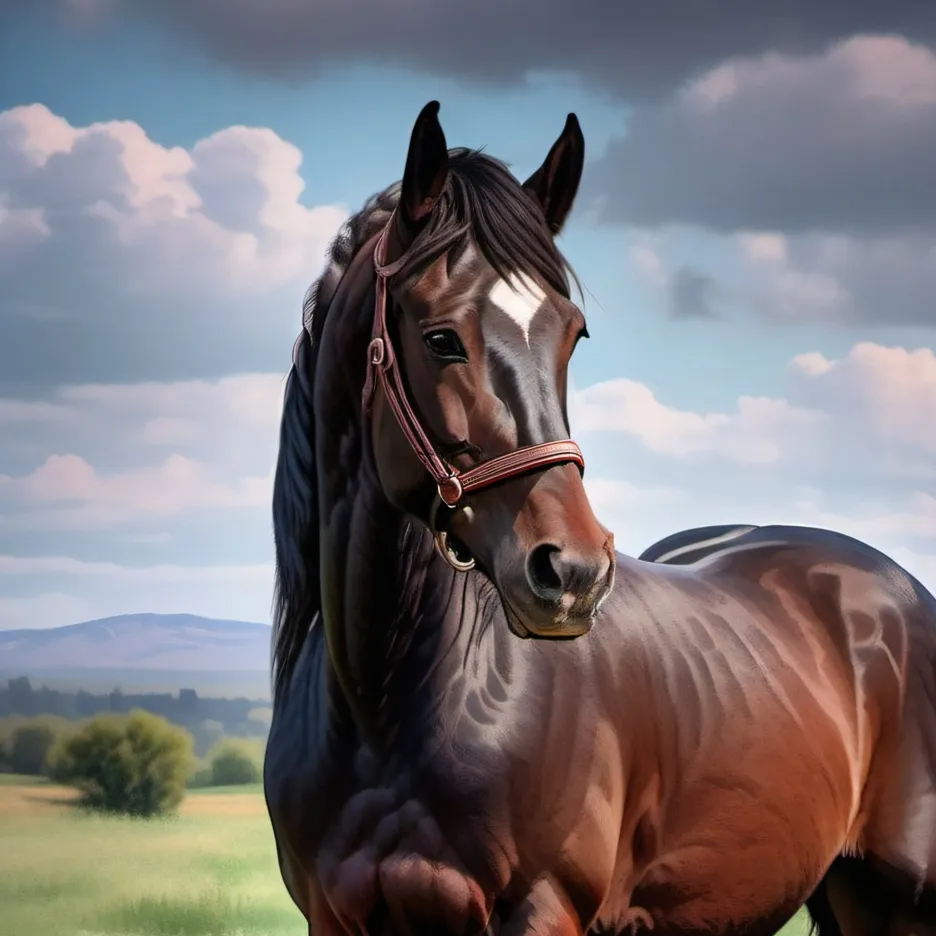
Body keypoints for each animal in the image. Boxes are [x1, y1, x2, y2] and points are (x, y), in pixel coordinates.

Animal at [263, 101, 936, 936]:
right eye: (441, 337)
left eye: (572, 334)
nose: (573, 573)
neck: (381, 713)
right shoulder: (334, 917)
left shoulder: (542, 909)